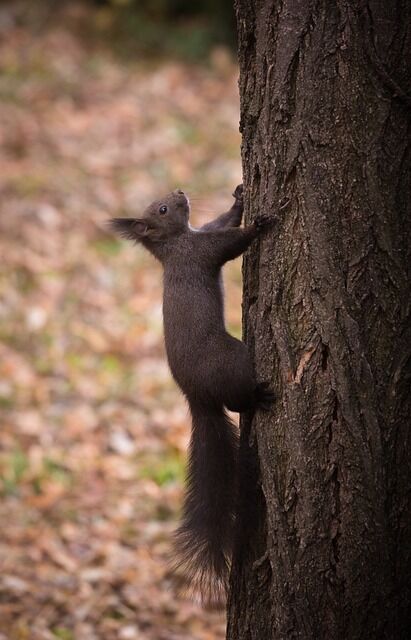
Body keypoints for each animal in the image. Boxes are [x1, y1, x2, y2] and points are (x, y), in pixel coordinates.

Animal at [111, 185, 276, 604]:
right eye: (162, 209)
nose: (180, 191)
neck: (175, 242)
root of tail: (197, 399)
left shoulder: (203, 233)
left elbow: (221, 221)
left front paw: (239, 199)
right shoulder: (200, 251)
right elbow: (229, 243)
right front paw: (259, 225)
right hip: (234, 360)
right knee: (236, 401)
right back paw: (258, 398)